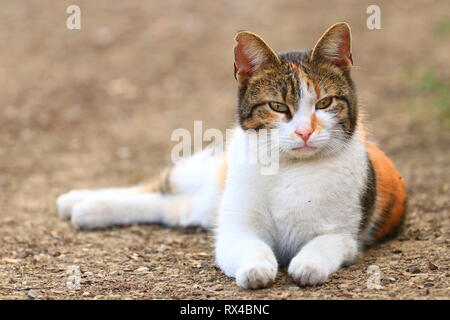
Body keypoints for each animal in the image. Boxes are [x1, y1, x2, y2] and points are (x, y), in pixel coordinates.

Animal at [57, 23, 408, 290]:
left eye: (324, 103)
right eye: (278, 106)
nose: (304, 132)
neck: (288, 170)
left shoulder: (344, 236)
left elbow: (321, 248)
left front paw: (306, 266)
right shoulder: (237, 230)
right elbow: (252, 248)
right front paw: (256, 270)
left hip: (200, 206)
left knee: (165, 206)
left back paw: (87, 209)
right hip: (207, 174)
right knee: (156, 187)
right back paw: (76, 200)